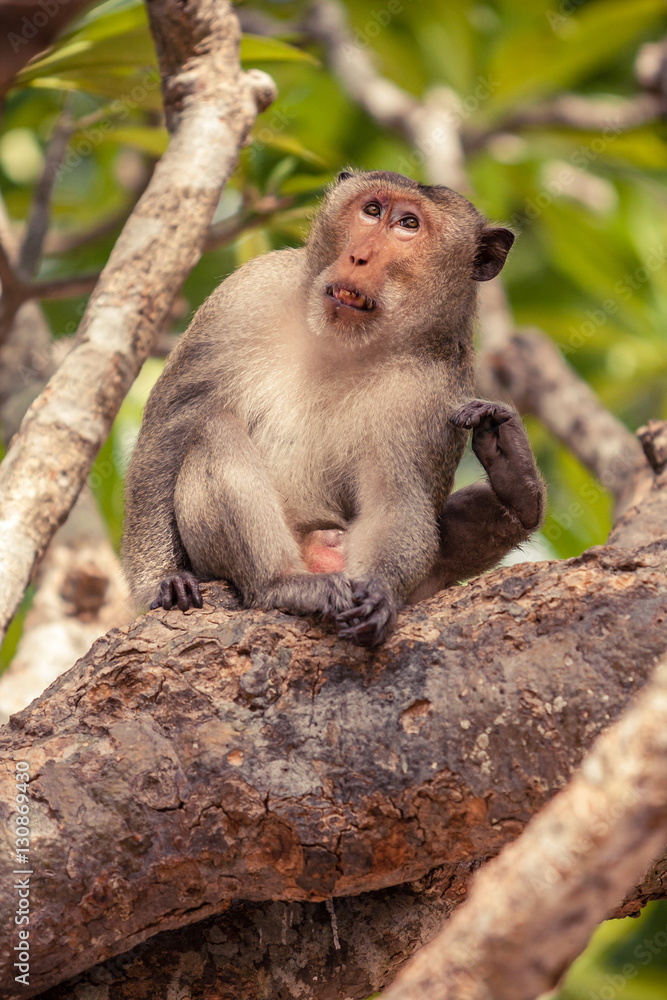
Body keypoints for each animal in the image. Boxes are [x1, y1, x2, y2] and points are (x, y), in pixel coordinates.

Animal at [122, 169, 545, 647]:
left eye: (409, 225)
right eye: (372, 210)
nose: (358, 256)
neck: (344, 344)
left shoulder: (436, 389)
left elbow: (398, 493)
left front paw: (379, 594)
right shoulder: (243, 297)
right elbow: (172, 430)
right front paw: (164, 579)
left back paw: (518, 485)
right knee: (215, 431)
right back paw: (280, 583)